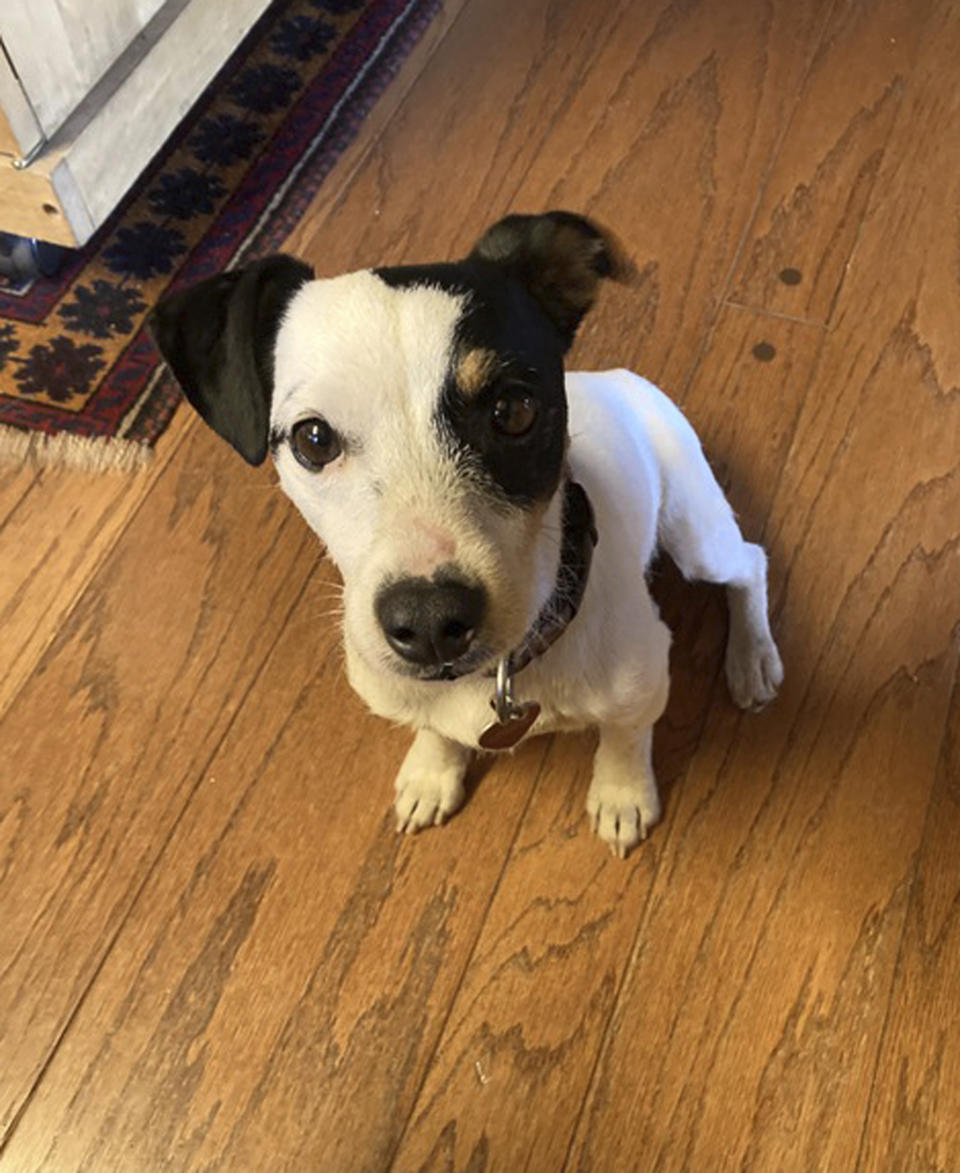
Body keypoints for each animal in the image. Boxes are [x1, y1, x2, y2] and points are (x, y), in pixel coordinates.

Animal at [149, 211, 779, 858]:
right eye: (313, 439)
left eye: (513, 410)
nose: (429, 623)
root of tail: (619, 377)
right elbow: (434, 731)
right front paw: (433, 771)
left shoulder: (644, 680)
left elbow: (626, 737)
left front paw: (622, 793)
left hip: (696, 534)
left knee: (749, 565)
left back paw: (752, 657)